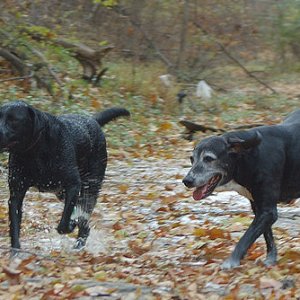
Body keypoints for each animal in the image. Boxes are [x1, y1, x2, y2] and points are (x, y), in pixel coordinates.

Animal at [0, 101, 130, 251]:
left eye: (14, 120)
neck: (35, 152)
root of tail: (92, 120)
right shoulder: (16, 194)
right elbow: (14, 227)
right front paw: (15, 252)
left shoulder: (73, 185)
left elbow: (64, 223)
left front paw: (71, 224)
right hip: (62, 193)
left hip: (90, 188)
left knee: (84, 216)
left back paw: (79, 243)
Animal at [182, 110, 300, 270]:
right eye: (191, 159)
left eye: (208, 158)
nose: (187, 181)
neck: (248, 155)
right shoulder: (258, 208)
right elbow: (267, 235)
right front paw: (271, 258)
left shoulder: (268, 211)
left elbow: (246, 238)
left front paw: (231, 262)